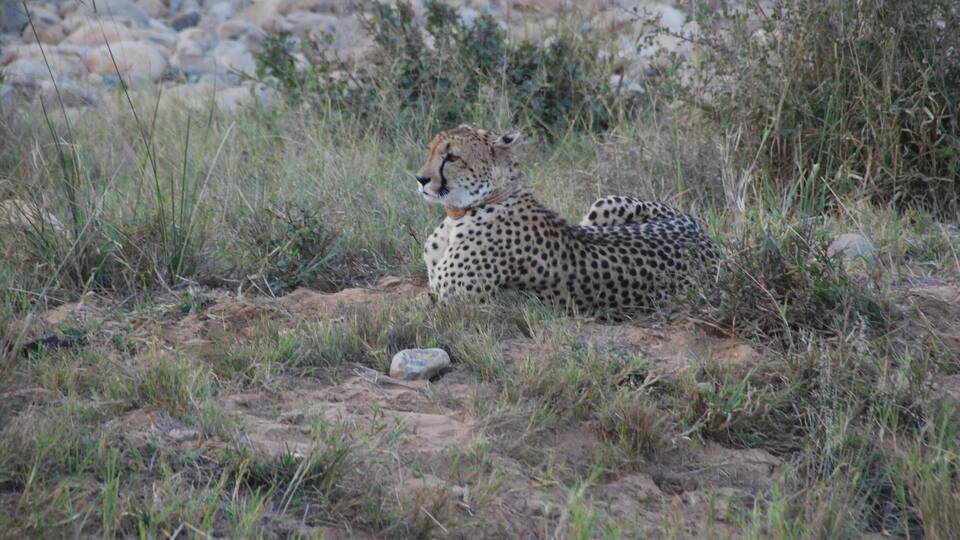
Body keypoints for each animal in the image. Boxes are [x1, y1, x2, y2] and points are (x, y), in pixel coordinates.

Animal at [415, 125, 720, 312]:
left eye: (452, 157)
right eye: (430, 150)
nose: (420, 179)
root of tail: (703, 235)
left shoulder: (458, 303)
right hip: (603, 203)